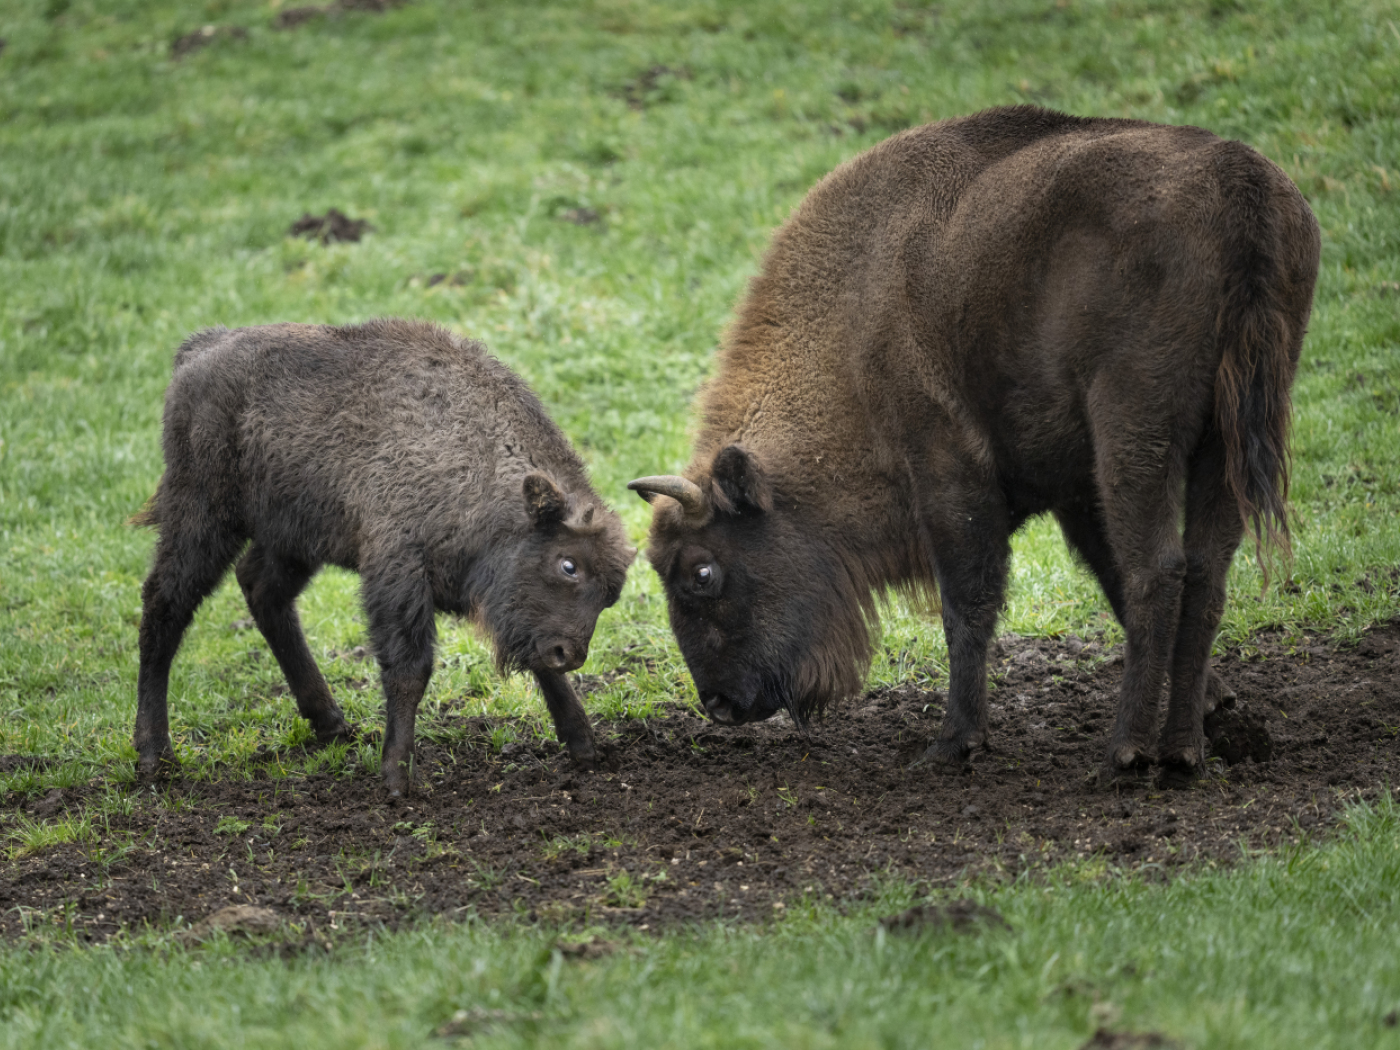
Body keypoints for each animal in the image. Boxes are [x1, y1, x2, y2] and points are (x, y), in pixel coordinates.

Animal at [134, 319, 634, 795]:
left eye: (610, 596)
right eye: (568, 565)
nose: (571, 653)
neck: (476, 458)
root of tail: (200, 351)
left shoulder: (516, 616)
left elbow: (539, 666)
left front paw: (584, 745)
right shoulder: (398, 573)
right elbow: (410, 670)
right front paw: (396, 776)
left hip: (292, 539)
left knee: (262, 591)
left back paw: (331, 724)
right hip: (203, 518)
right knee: (165, 606)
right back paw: (155, 757)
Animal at [630, 106, 1319, 782]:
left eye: (701, 572)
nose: (719, 704)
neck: (855, 322)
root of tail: (1242, 191)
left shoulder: (948, 472)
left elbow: (970, 603)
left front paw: (954, 742)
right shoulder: (1076, 491)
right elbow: (1108, 580)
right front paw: (1220, 704)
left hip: (1136, 428)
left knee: (1158, 569)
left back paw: (1125, 752)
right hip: (1225, 438)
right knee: (1204, 572)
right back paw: (1182, 750)